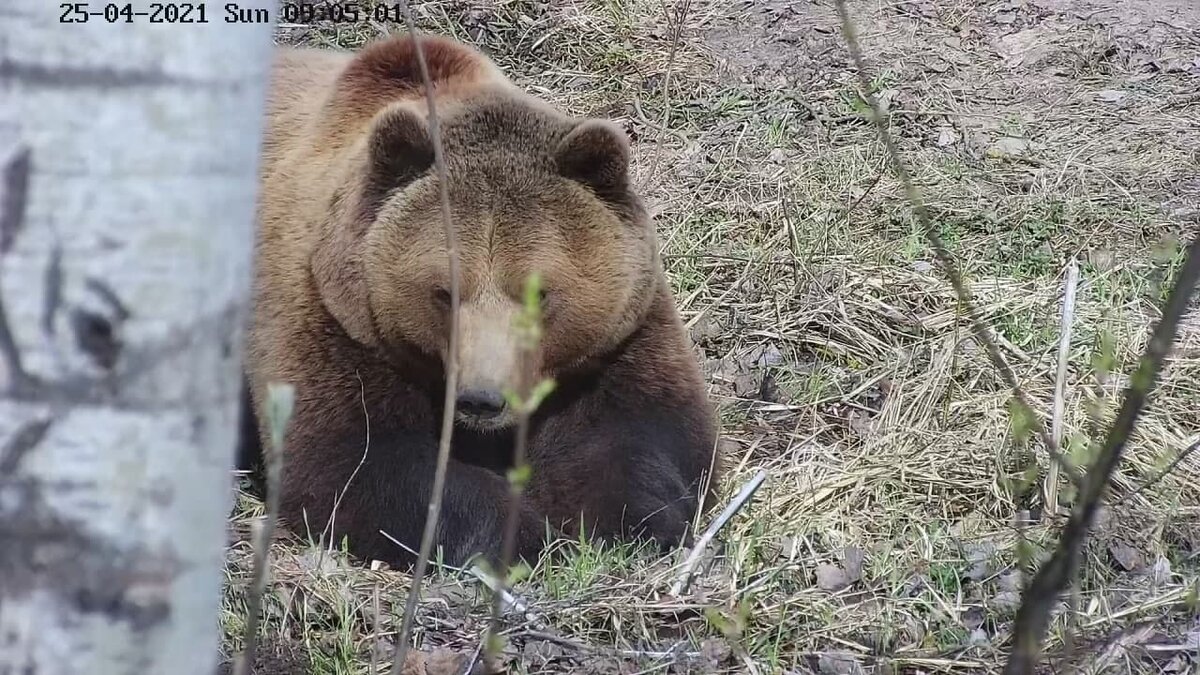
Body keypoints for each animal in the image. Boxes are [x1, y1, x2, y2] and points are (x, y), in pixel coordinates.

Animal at [238, 32, 715, 566]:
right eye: (444, 292)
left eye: (539, 293)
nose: (482, 399)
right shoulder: (335, 317)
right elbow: (360, 458)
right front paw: (524, 535)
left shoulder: (619, 333)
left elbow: (640, 431)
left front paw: (638, 522)